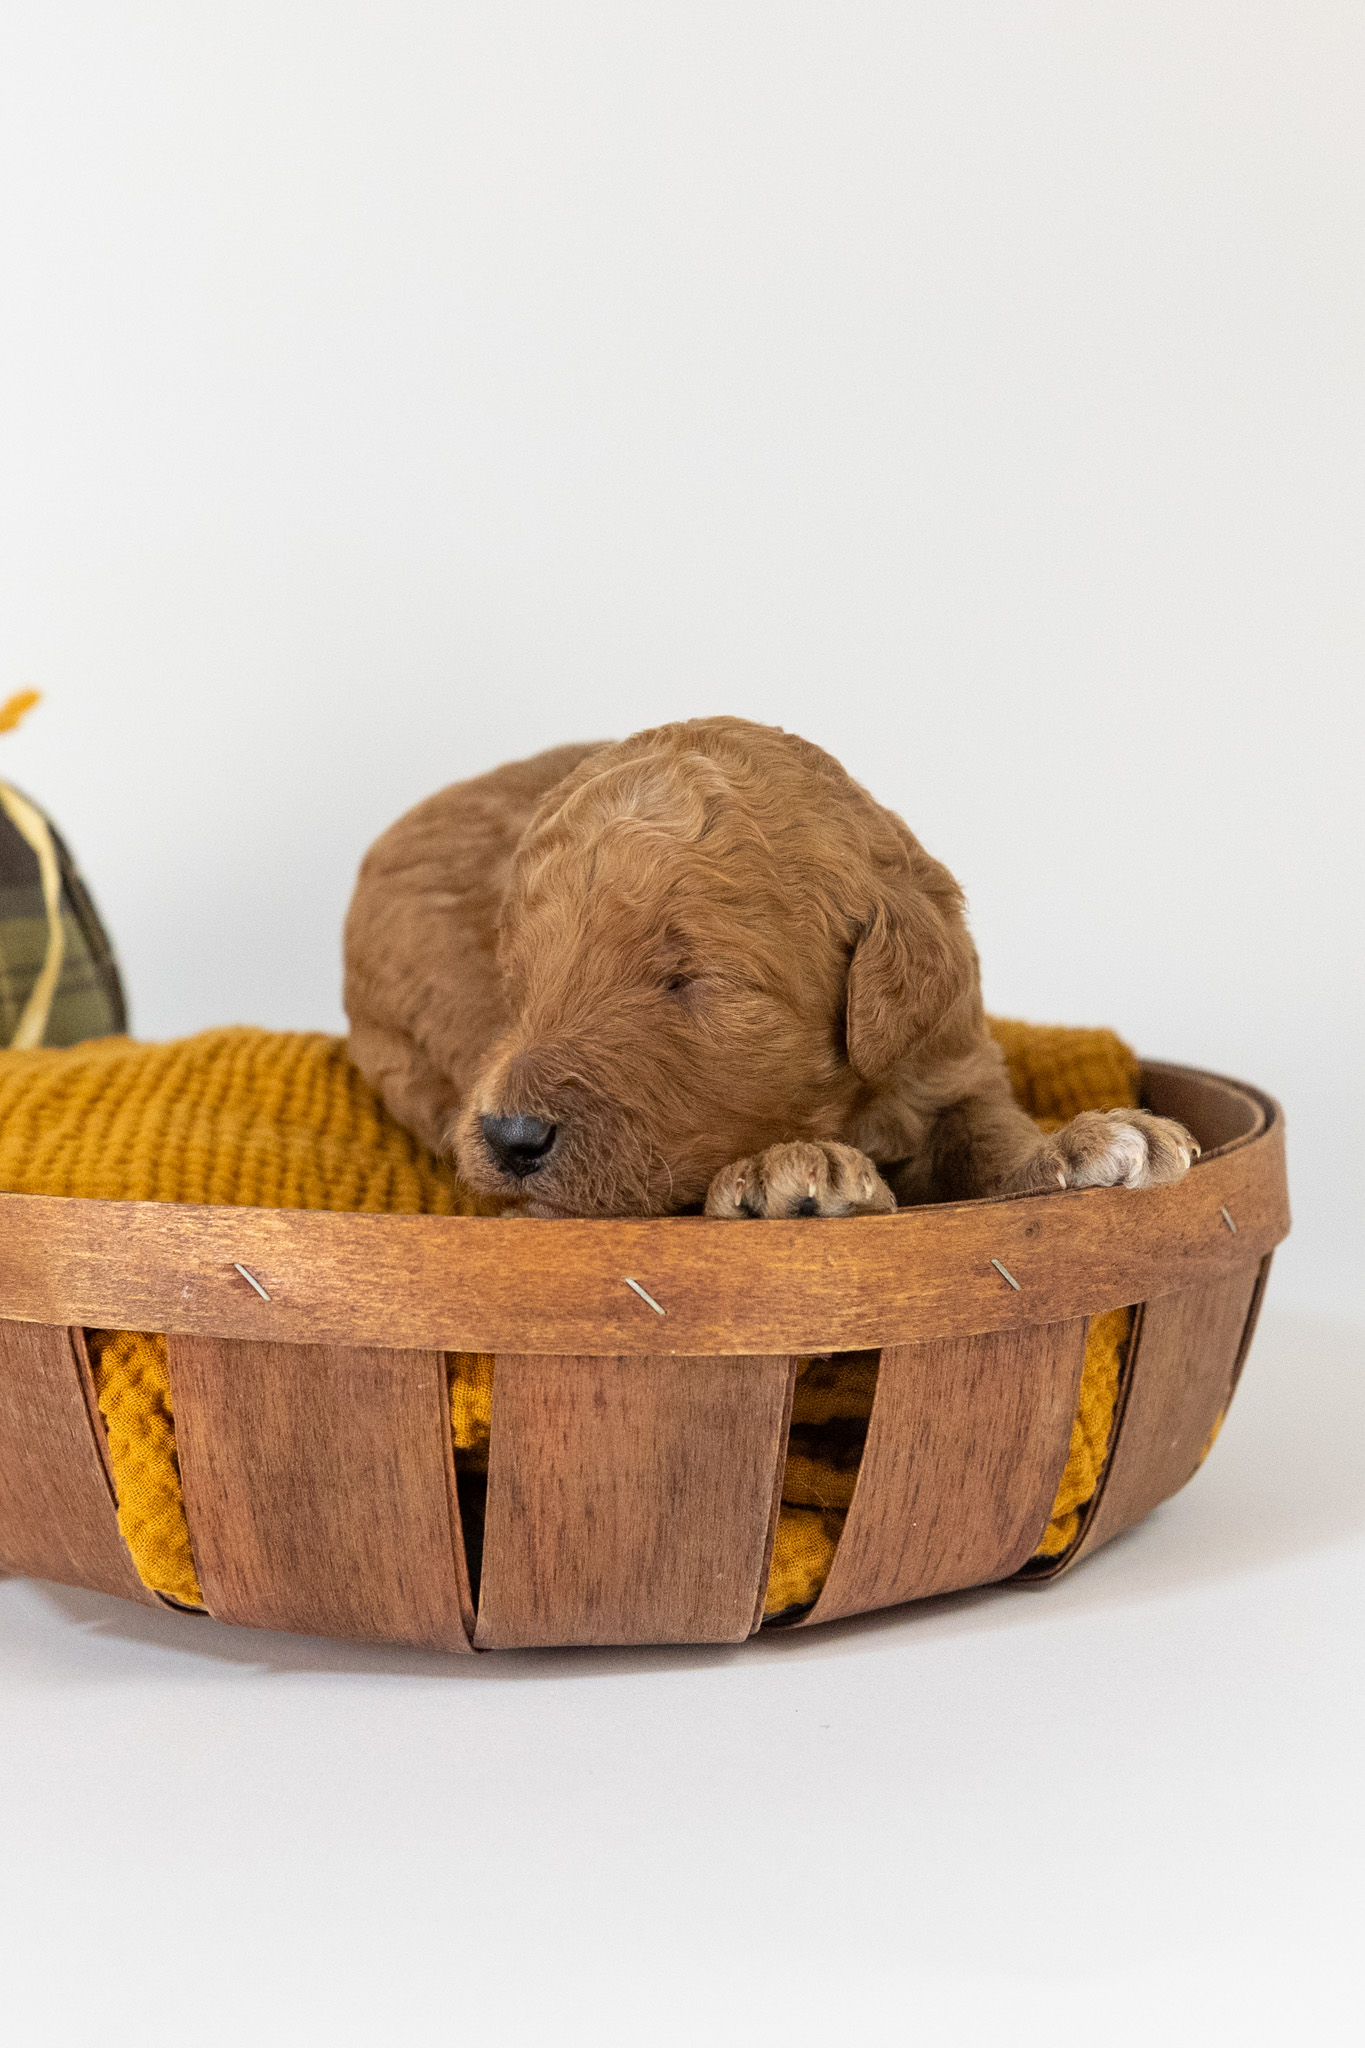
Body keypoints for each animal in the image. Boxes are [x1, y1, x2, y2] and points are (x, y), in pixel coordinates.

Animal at [344, 717, 1195, 1218]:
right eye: (519, 984)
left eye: (687, 980)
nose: (510, 1137)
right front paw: (790, 1176)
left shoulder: (949, 1060)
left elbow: (986, 1134)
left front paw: (1085, 1146)